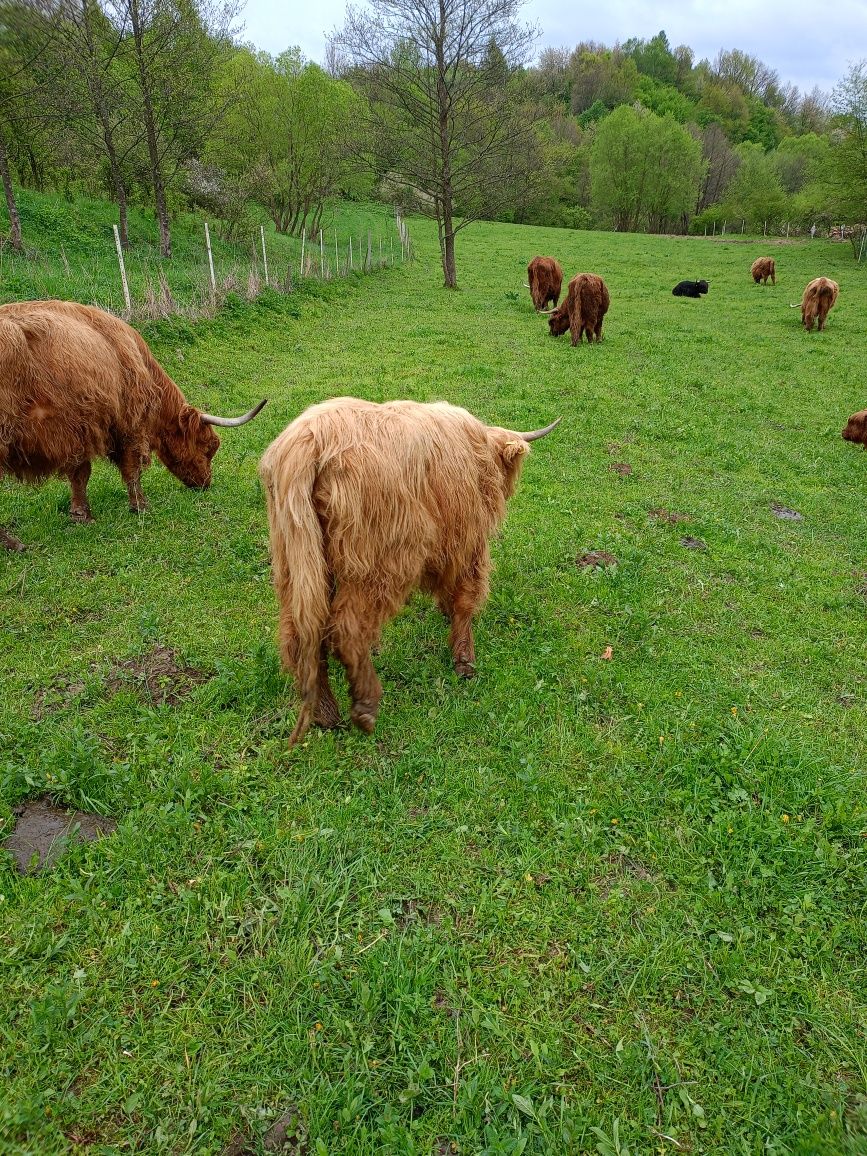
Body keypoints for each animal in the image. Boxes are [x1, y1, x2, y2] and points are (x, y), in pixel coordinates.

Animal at [0, 300, 267, 547]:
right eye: (209, 446)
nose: (205, 483)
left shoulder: (80, 432)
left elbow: (79, 475)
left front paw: (80, 515)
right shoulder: (129, 425)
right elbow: (131, 469)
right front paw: (140, 505)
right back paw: (12, 543)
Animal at [256, 395, 564, 739]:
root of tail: (307, 442)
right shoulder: (466, 541)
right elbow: (465, 599)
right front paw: (464, 662)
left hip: (294, 560)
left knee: (299, 634)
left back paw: (326, 712)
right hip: (375, 563)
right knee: (347, 628)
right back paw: (366, 707)